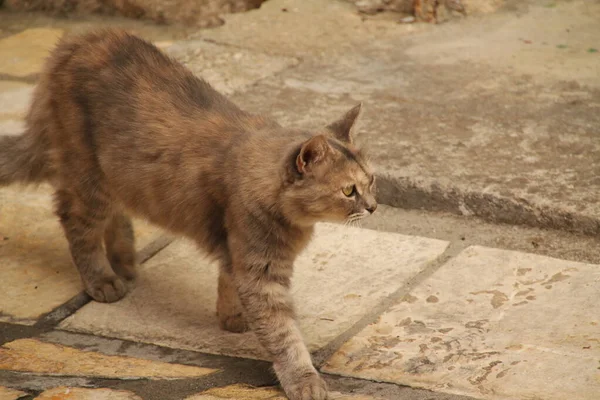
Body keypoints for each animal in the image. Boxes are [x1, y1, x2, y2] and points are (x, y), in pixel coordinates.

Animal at [0, 29, 376, 398]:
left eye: (371, 180)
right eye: (348, 191)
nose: (373, 206)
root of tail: (74, 41)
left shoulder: (238, 253)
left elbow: (228, 282)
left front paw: (231, 317)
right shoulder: (261, 271)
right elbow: (284, 334)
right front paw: (303, 379)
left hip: (117, 179)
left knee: (114, 216)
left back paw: (125, 261)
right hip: (89, 180)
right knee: (76, 224)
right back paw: (103, 279)